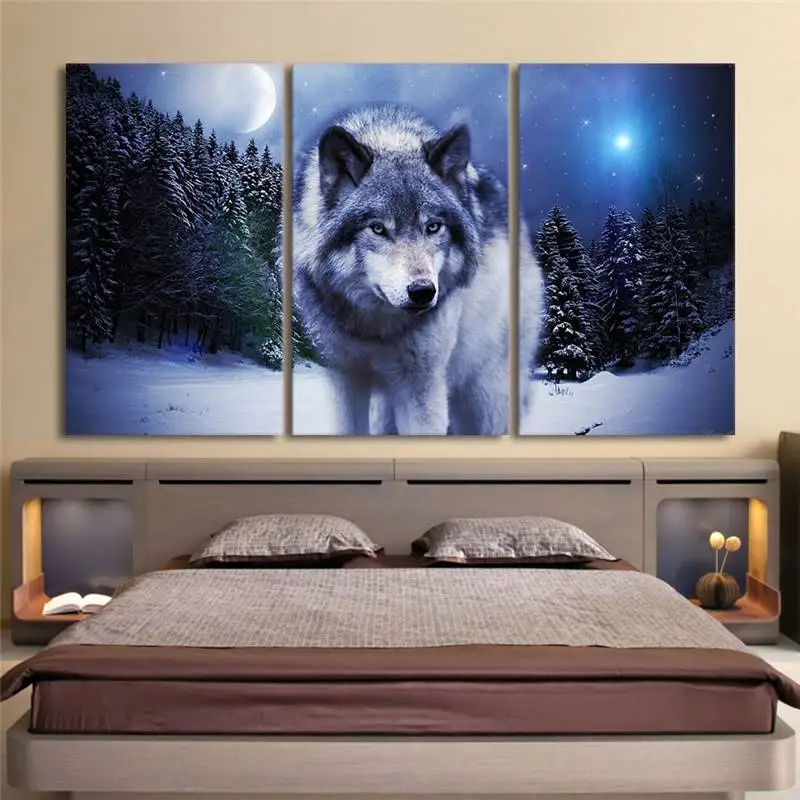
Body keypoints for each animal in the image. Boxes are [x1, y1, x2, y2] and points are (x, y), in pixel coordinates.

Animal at [293, 104, 542, 436]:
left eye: (433, 227)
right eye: (378, 228)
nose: (423, 292)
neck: (375, 330)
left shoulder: (422, 383)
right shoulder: (345, 376)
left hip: (486, 395)